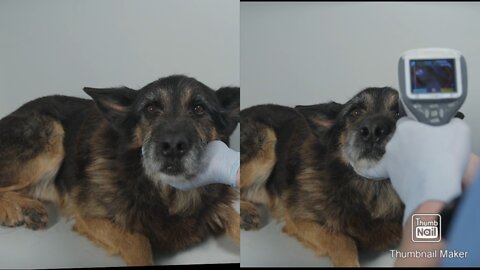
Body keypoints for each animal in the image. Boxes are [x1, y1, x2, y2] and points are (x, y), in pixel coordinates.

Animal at [0, 75, 240, 264]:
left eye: (199, 109)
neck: (165, 195)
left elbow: (233, 215)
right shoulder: (90, 217)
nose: (172, 146)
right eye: (150, 108)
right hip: (51, 133)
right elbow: (139, 241)